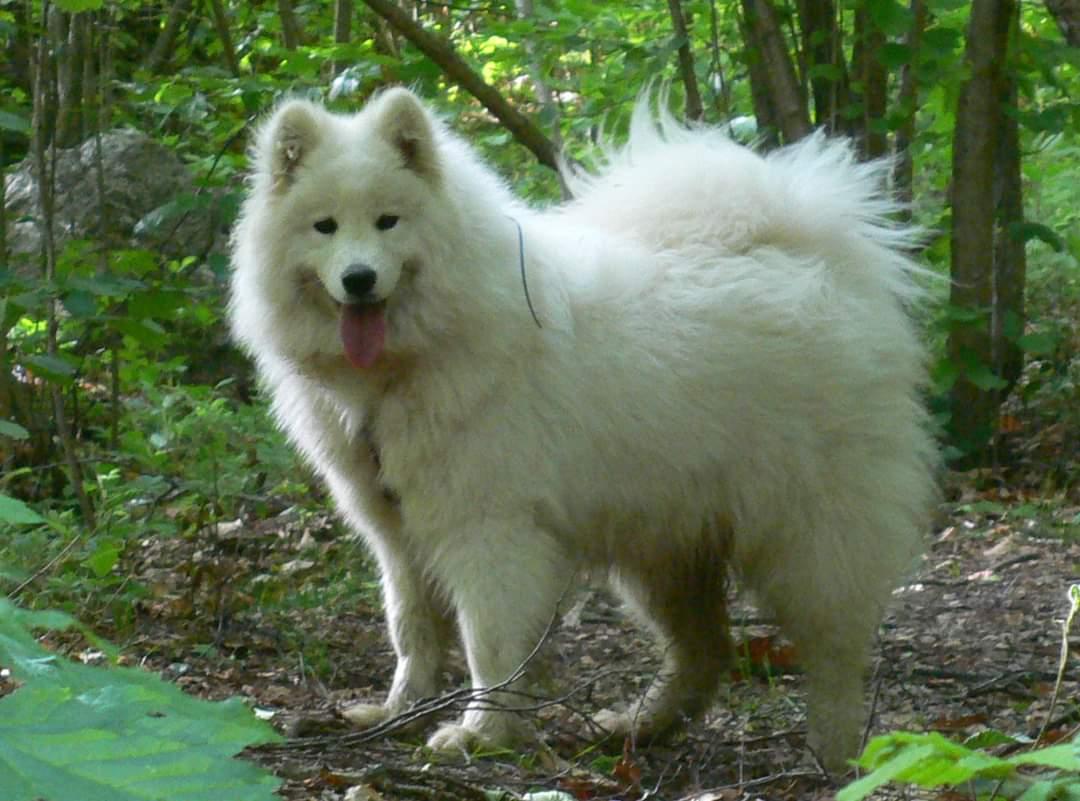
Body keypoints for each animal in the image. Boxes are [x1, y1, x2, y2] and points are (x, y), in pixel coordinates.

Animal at [230, 86, 937, 772]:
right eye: (324, 226)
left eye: (387, 221)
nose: (359, 280)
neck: (408, 364)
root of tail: (816, 254)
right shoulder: (397, 533)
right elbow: (412, 630)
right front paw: (397, 713)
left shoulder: (492, 528)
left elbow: (488, 642)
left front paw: (482, 733)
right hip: (666, 544)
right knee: (706, 650)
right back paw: (641, 727)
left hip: (808, 534)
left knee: (834, 650)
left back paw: (835, 755)